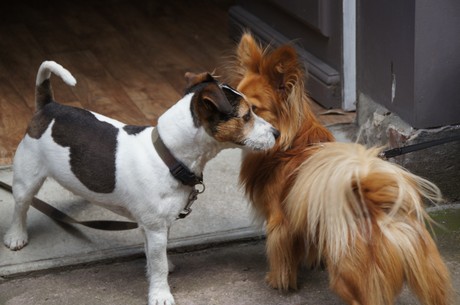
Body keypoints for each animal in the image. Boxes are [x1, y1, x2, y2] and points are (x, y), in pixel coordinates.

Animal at [3, 60, 278, 302]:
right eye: (246, 116)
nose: (277, 133)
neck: (169, 156)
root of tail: (48, 106)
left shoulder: (158, 224)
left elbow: (156, 255)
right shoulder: (156, 228)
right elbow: (158, 265)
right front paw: (160, 293)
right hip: (27, 178)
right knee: (20, 206)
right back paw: (16, 236)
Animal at [228, 32, 452, 304]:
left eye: (253, 110)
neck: (290, 145)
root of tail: (379, 216)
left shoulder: (279, 222)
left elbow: (281, 256)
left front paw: (278, 281)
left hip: (348, 279)